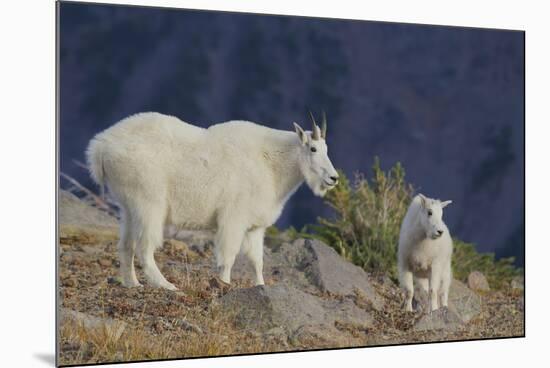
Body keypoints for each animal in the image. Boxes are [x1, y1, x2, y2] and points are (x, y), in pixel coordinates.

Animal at [88, 112, 338, 290]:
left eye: (327, 149)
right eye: (313, 148)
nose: (333, 178)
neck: (271, 163)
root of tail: (100, 146)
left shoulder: (255, 227)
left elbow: (257, 261)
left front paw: (260, 286)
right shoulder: (233, 218)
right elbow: (228, 257)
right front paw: (224, 285)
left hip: (128, 205)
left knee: (126, 245)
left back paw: (132, 283)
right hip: (148, 202)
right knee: (144, 247)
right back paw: (166, 285)